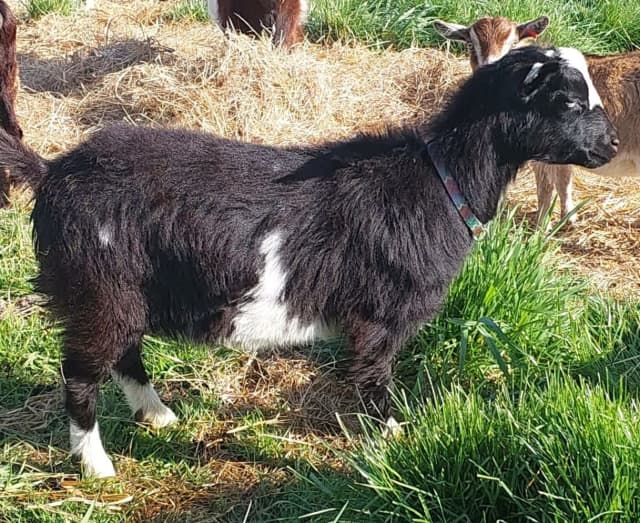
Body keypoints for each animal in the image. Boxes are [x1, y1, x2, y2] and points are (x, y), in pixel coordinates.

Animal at [0, 46, 617, 477]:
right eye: (566, 101)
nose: (611, 146)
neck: (438, 182)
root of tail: (52, 172)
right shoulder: (379, 318)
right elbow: (373, 381)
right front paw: (393, 440)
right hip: (97, 288)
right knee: (82, 373)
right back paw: (96, 464)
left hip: (124, 292)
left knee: (125, 353)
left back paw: (158, 416)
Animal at [436, 15, 638, 225]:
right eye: (470, 44)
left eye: (514, 43)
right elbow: (564, 182)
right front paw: (568, 219)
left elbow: (546, 188)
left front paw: (542, 226)